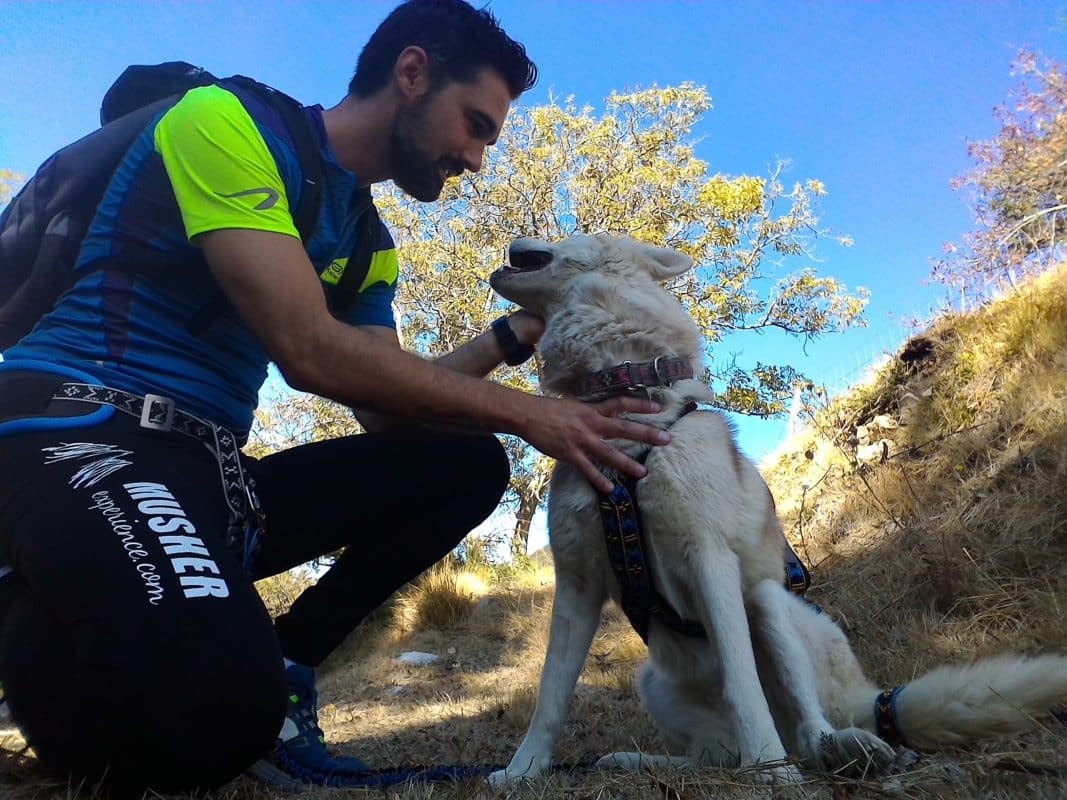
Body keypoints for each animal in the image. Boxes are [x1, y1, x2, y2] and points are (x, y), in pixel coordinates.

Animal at [488, 234, 1067, 785]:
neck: (624, 412)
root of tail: (868, 700)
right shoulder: (577, 585)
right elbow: (550, 697)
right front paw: (522, 772)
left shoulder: (710, 559)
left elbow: (743, 682)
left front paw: (769, 769)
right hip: (653, 679)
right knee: (716, 757)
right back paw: (638, 761)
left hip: (769, 603)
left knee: (811, 731)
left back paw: (839, 750)